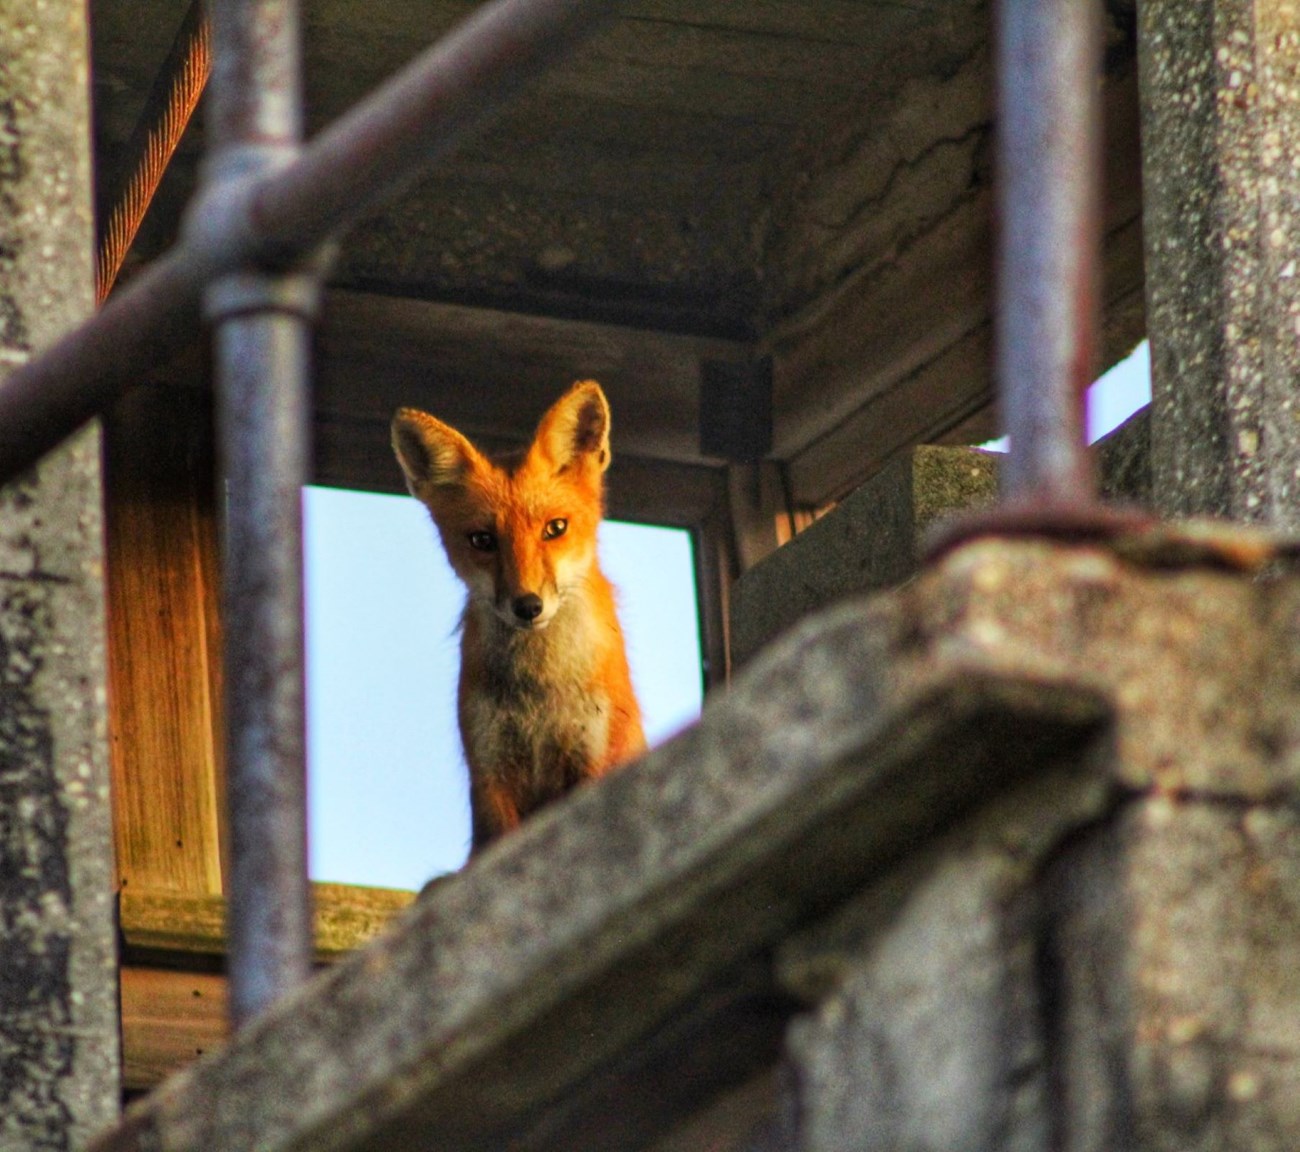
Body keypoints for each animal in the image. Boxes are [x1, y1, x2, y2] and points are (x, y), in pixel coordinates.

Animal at [387, 382, 647, 852]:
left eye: (555, 528)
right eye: (482, 540)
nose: (528, 606)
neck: (539, 693)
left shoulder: (592, 756)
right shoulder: (490, 770)